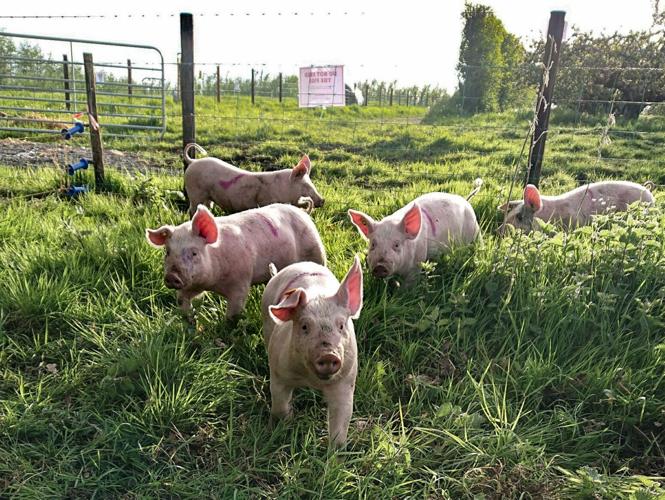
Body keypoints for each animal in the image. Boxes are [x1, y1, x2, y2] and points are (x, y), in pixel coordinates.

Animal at [145, 203, 326, 321]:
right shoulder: (193, 282)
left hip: (316, 251)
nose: (172, 276)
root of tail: (302, 212)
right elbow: (182, 299)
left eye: (194, 252)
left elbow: (234, 312)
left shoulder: (241, 282)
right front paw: (189, 319)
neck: (213, 283)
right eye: (167, 252)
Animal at [183, 143, 325, 216]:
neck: (283, 187)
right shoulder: (266, 201)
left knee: (207, 206)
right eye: (306, 185)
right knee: (191, 209)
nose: (323, 200)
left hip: (206, 196)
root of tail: (193, 161)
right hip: (194, 192)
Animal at [261, 256, 363, 448]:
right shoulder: (278, 372)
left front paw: (336, 451)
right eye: (304, 326)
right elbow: (279, 403)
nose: (328, 354)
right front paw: (279, 427)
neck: (311, 381)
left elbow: (342, 418)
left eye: (341, 326)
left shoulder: (346, 380)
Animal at [348, 182, 482, 280]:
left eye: (396, 244)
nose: (380, 267)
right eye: (373, 244)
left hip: (475, 231)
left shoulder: (416, 264)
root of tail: (465, 200)